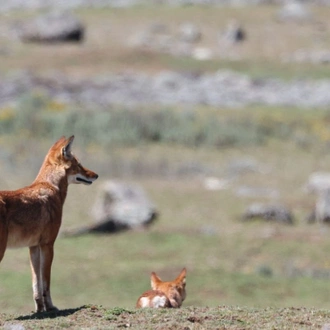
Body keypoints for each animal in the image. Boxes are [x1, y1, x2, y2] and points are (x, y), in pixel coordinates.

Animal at [0, 136, 98, 312]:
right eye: (79, 164)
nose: (96, 175)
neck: (51, 187)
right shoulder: (48, 245)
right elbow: (46, 283)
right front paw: (50, 307)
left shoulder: (33, 247)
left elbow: (36, 285)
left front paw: (40, 310)